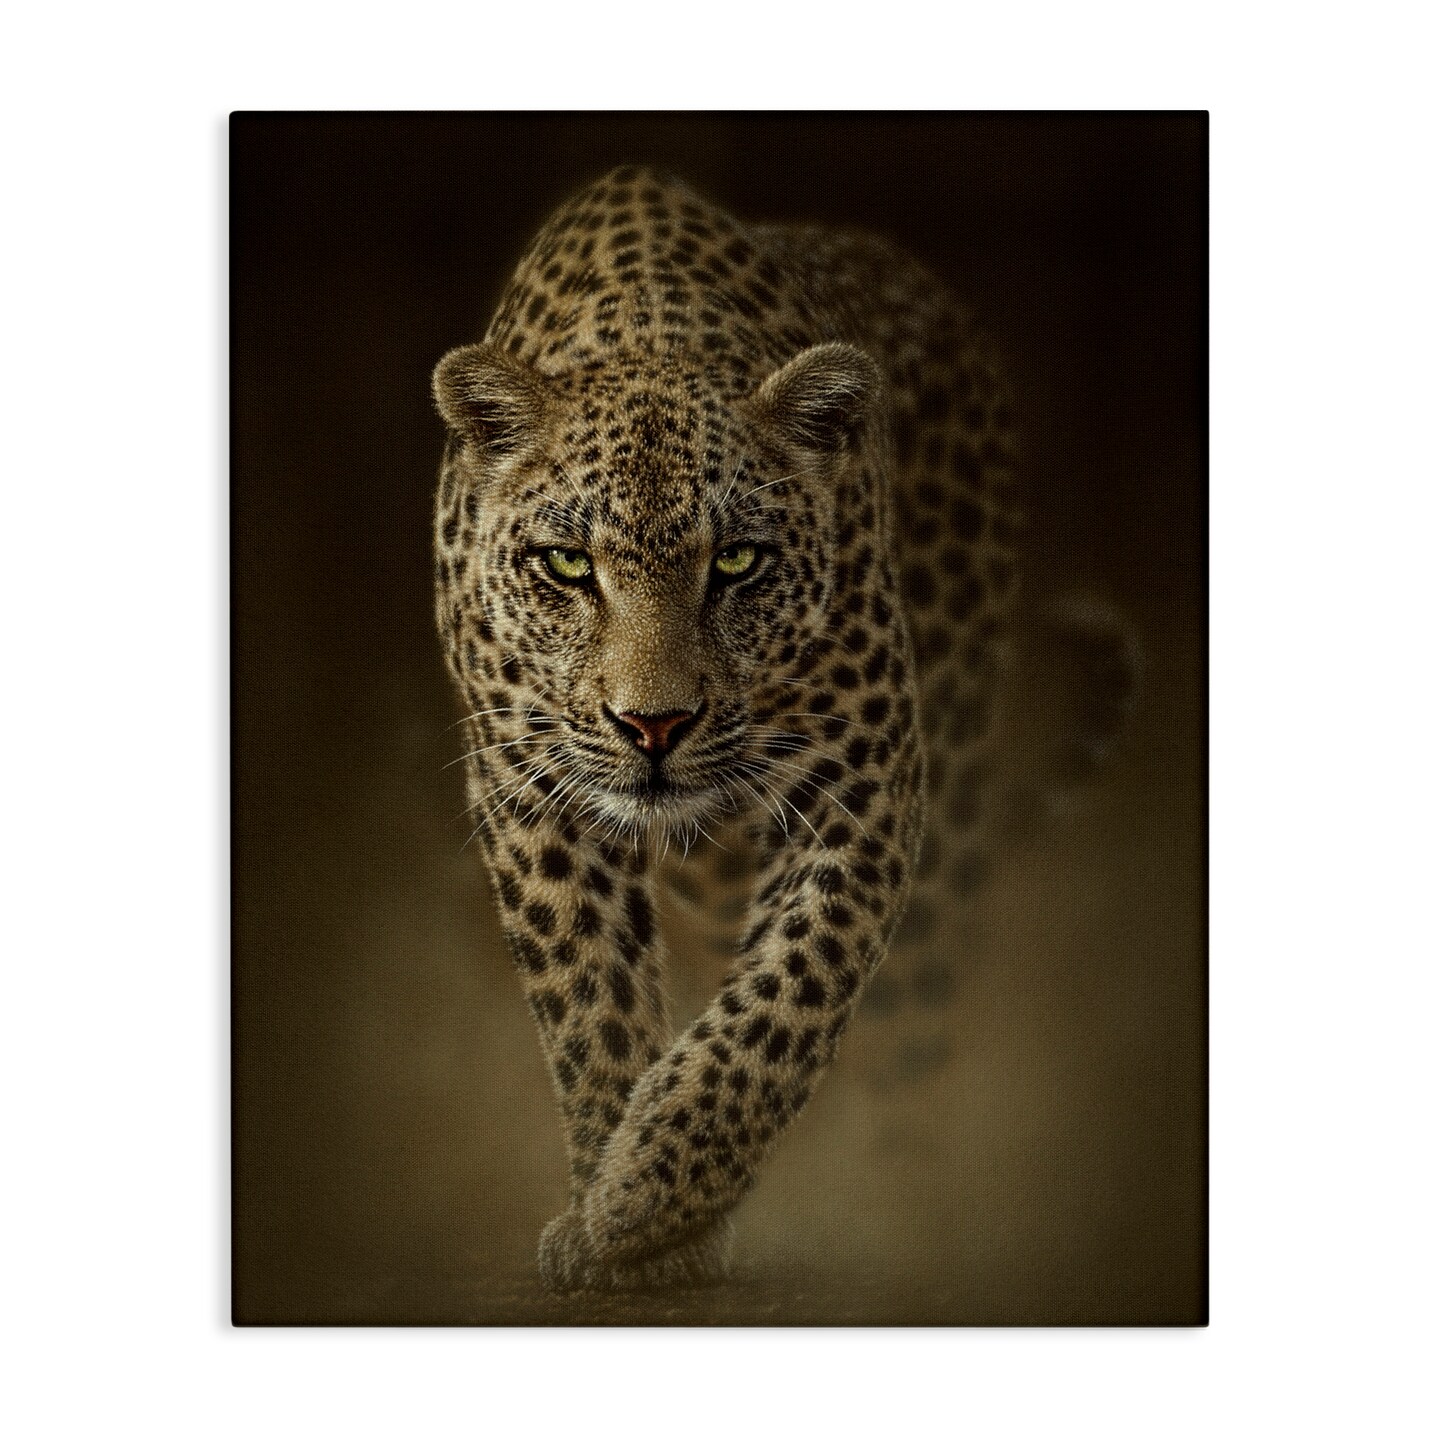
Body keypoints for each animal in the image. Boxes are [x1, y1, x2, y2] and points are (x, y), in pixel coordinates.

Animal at [429, 165, 1119, 1292]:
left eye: (739, 561)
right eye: (568, 566)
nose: (653, 726)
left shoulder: (866, 777)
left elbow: (791, 995)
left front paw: (651, 1198)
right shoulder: (526, 784)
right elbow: (587, 994)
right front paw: (618, 1214)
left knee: (916, 1011)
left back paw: (908, 1197)